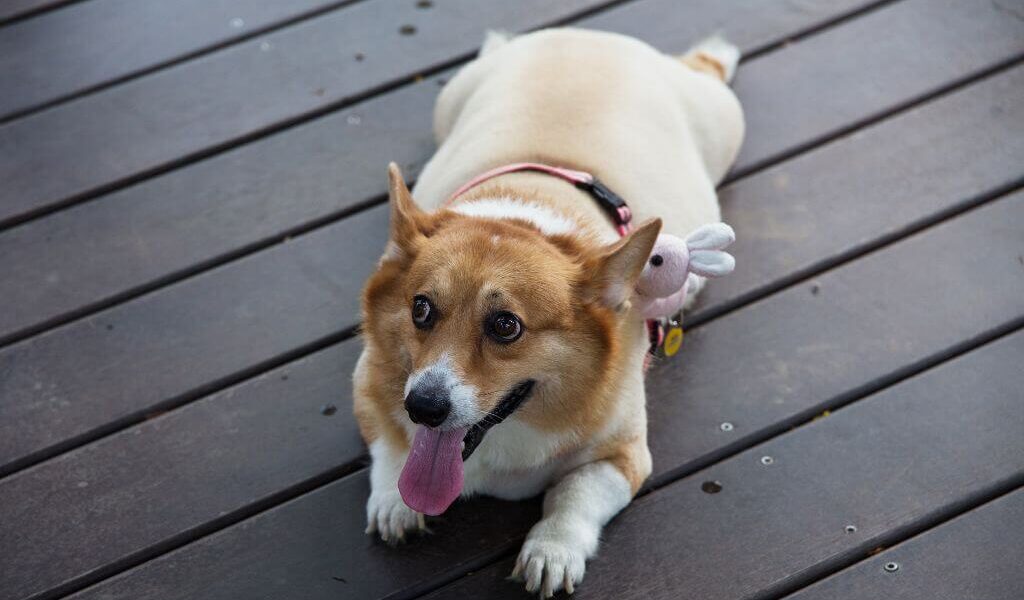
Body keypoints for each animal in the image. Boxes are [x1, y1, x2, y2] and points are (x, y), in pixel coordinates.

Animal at [354, 26, 745, 593]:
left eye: (505, 326)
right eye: (421, 309)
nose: (423, 407)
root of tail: (589, 34)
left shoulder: (622, 456)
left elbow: (573, 496)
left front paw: (551, 552)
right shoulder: (368, 386)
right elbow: (389, 444)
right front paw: (394, 504)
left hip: (723, 118)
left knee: (709, 67)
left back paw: (720, 51)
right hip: (449, 103)